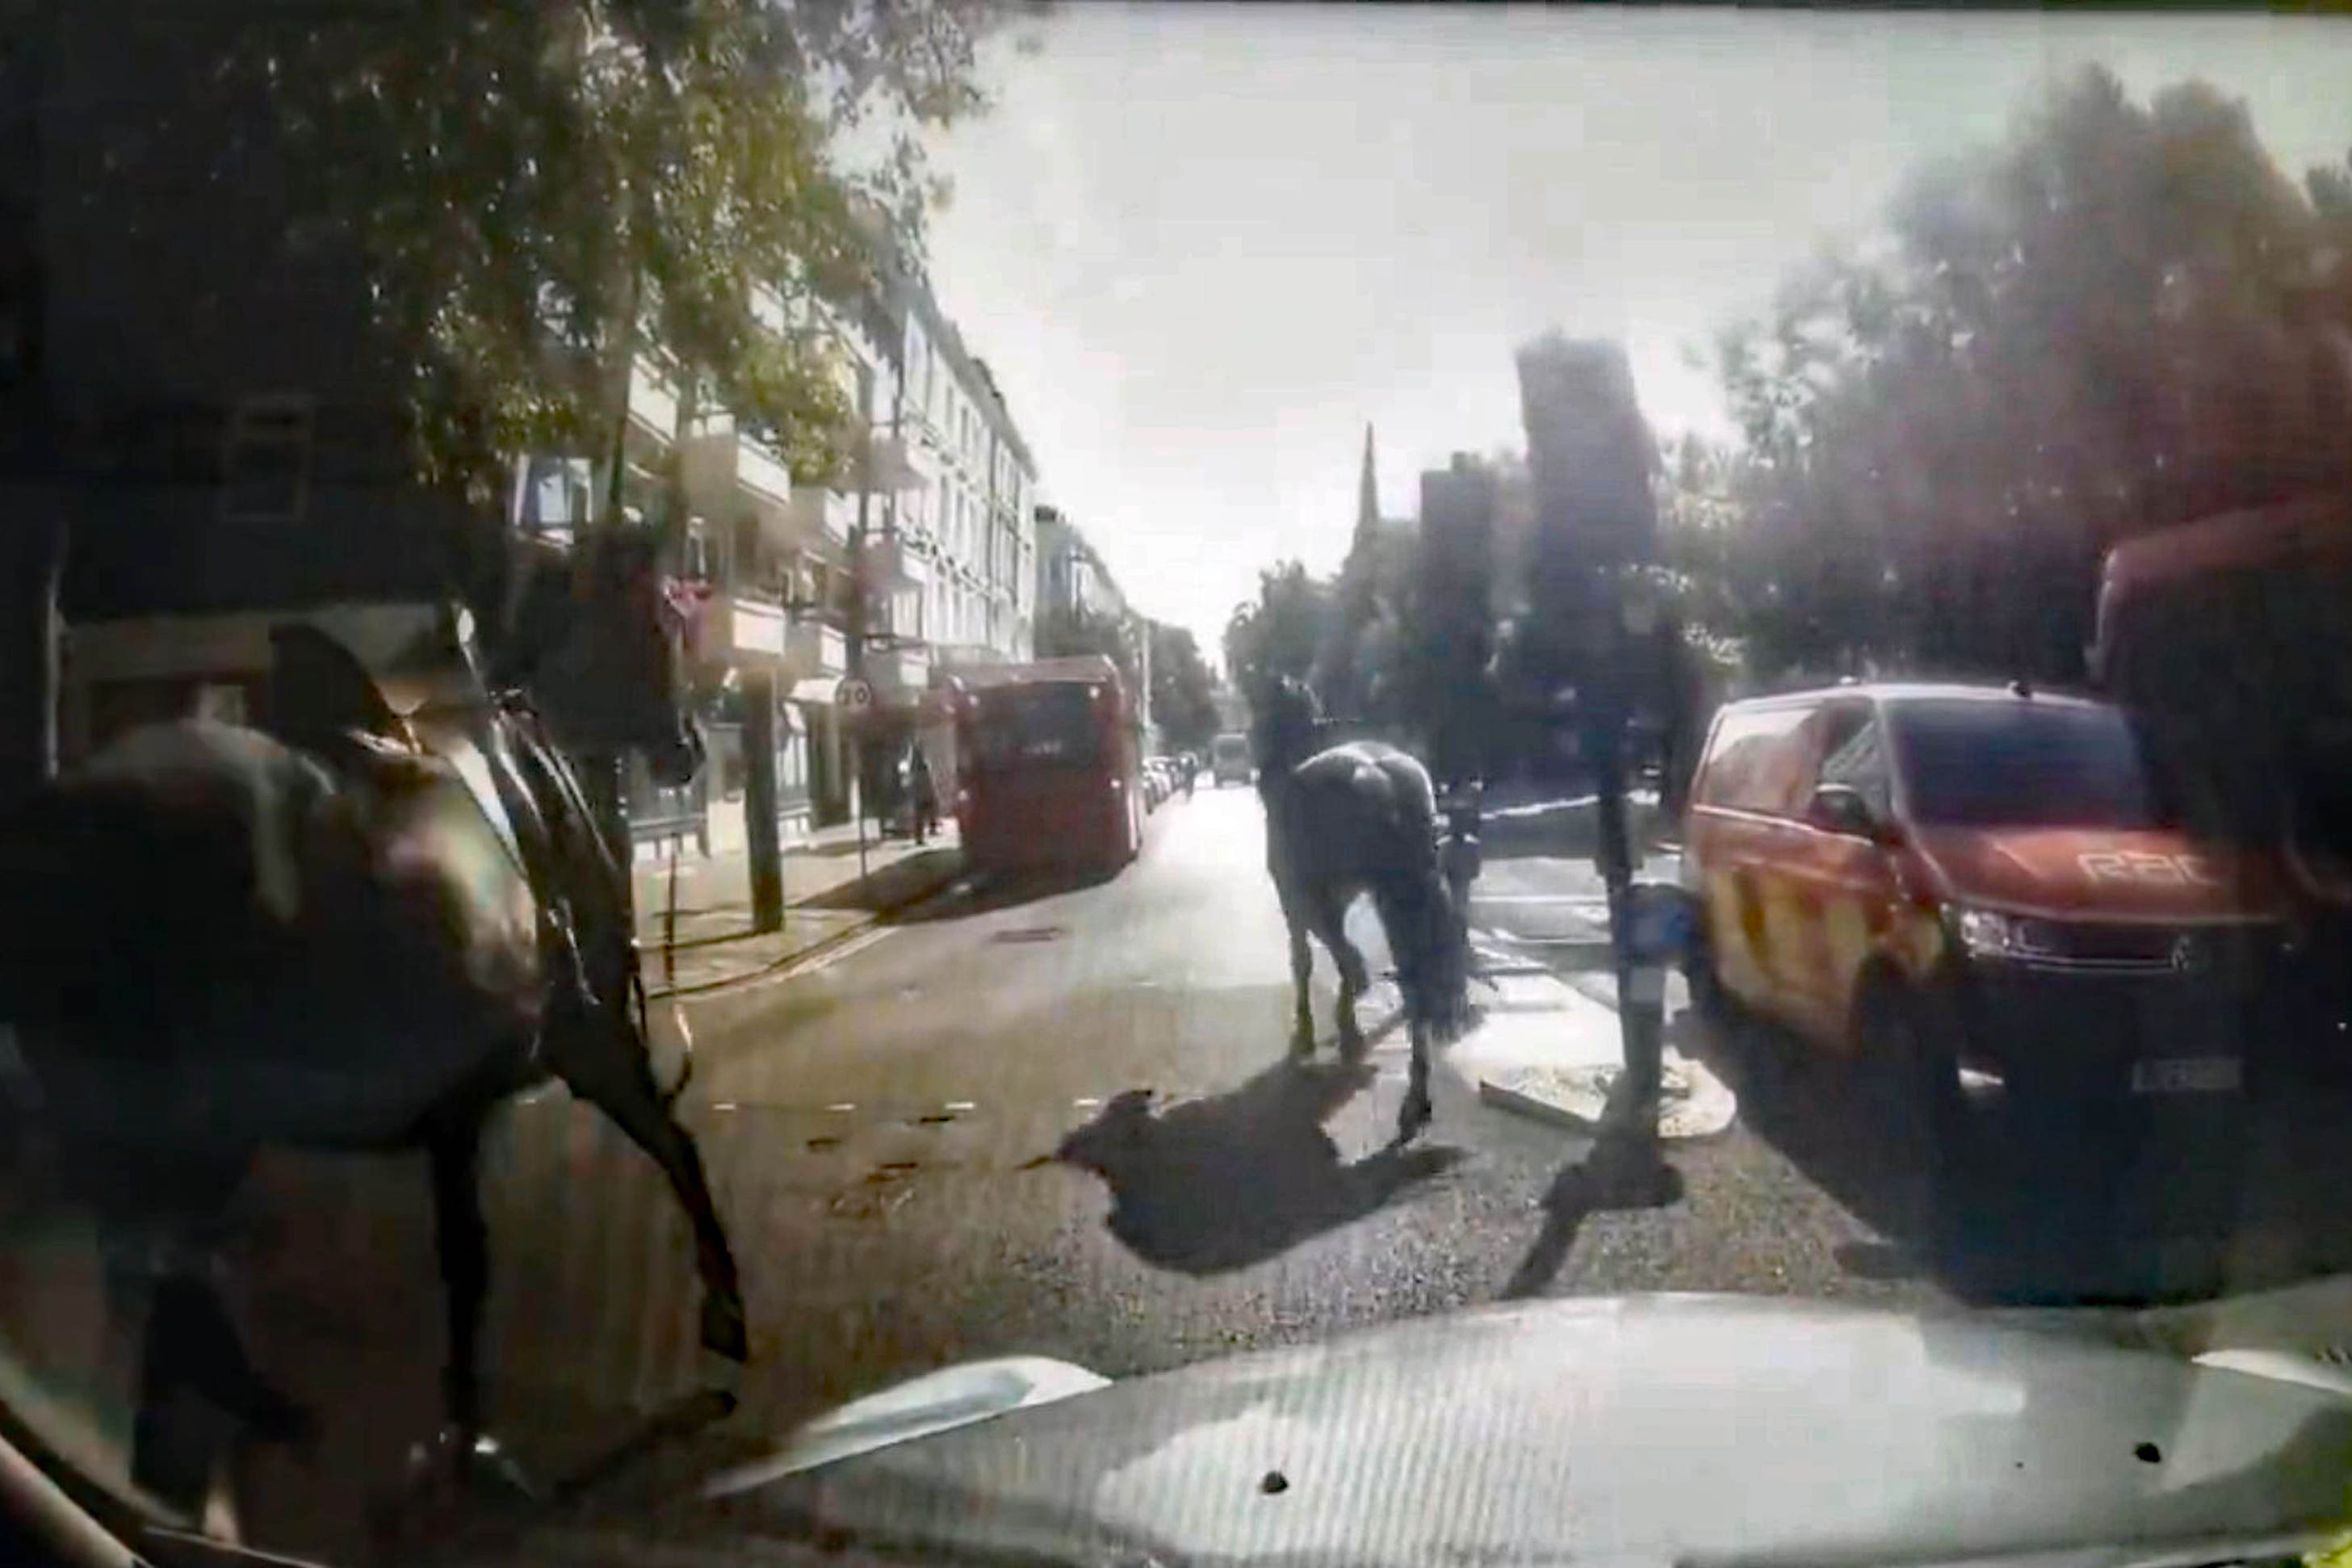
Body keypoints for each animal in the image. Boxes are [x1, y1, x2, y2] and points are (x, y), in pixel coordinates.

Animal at [0, 526, 743, 1523]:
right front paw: (719, 1313)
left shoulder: (455, 1111)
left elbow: (465, 1253)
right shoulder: (581, 1049)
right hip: (182, 1130)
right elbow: (659, 1153)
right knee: (167, 1288)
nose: (687, 750)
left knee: (165, 1294)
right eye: (660, 622)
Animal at [1260, 677, 1458, 1142]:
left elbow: (1309, 958)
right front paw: (1348, 1021)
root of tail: (1384, 775)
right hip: (1405, 891)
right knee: (1416, 978)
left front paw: (1314, 1032)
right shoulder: (1334, 898)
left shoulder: (1295, 896)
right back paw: (1417, 1096)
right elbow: (1337, 952)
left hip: (1380, 893)